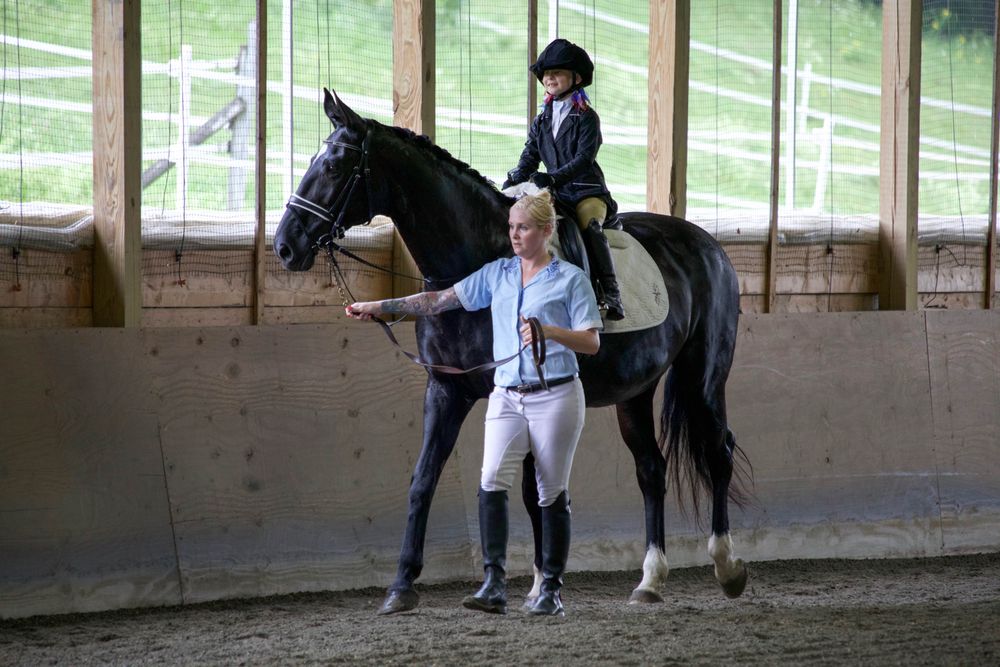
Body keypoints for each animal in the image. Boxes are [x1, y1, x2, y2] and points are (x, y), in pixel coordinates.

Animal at [274, 89, 750, 614]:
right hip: (635, 392)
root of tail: (709, 246)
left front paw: (543, 585)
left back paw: (727, 567)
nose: (285, 246)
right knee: (651, 469)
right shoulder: (446, 390)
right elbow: (425, 479)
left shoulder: (521, 389)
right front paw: (402, 586)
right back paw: (650, 579)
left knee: (719, 451)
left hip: (703, 375)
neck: (479, 260)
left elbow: (529, 487)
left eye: (335, 166)